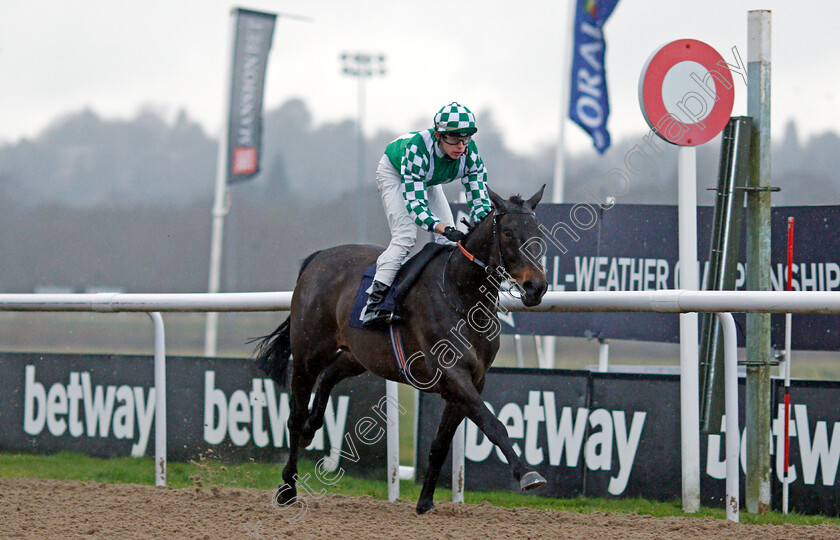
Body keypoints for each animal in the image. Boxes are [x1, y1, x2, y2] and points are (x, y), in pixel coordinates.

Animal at [253, 187, 548, 516]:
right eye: (508, 232)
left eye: (538, 231)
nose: (536, 287)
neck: (461, 294)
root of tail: (318, 259)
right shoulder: (453, 376)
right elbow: (494, 425)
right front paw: (528, 474)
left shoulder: (471, 381)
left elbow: (441, 444)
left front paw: (425, 501)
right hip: (308, 353)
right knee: (295, 414)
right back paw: (288, 488)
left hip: (360, 354)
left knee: (329, 375)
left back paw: (311, 427)